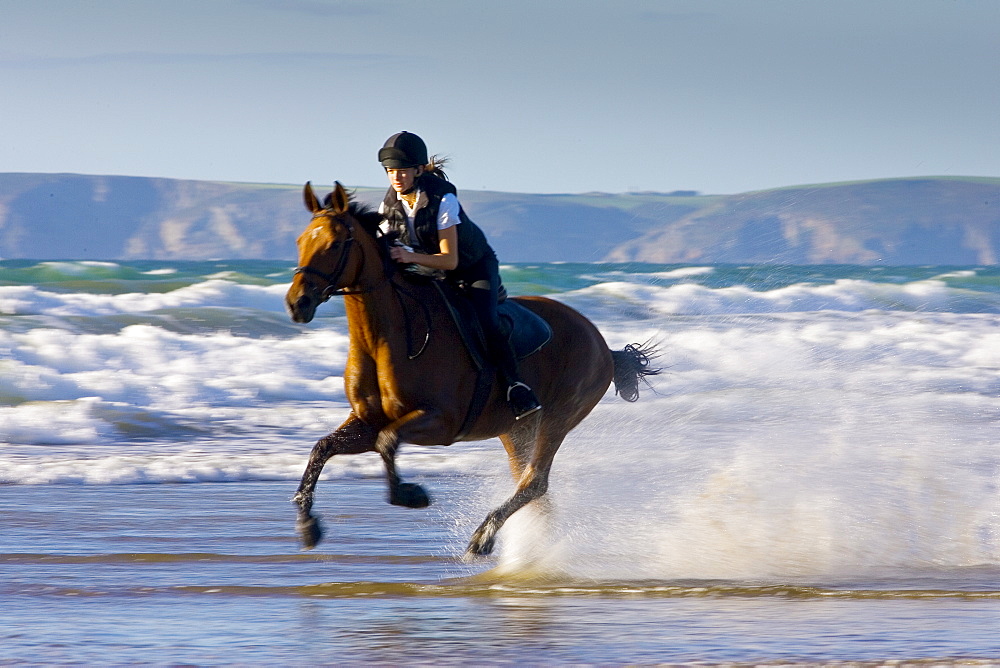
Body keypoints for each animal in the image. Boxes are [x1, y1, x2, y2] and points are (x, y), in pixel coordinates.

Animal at [286, 183, 656, 560]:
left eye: (334, 245)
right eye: (301, 240)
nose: (297, 303)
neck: (384, 337)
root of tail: (601, 343)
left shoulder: (441, 422)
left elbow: (386, 441)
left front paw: (410, 495)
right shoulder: (367, 421)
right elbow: (324, 448)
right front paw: (308, 525)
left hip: (559, 416)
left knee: (535, 481)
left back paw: (484, 536)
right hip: (517, 429)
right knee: (531, 486)